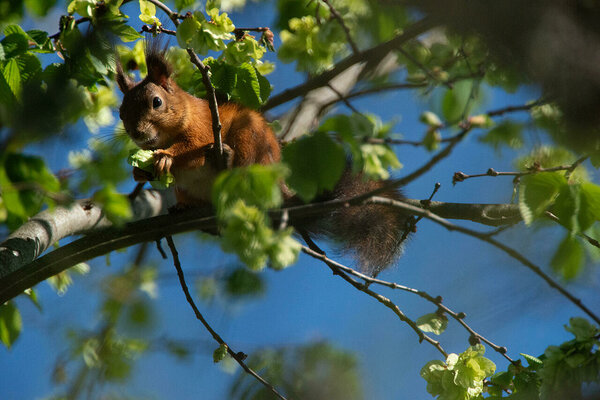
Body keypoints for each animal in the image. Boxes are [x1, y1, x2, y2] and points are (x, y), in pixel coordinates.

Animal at [115, 47, 410, 276]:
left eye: (156, 102)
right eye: (120, 112)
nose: (137, 133)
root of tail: (281, 194)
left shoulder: (204, 127)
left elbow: (193, 149)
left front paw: (166, 158)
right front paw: (139, 172)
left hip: (249, 139)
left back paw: (227, 160)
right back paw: (187, 208)